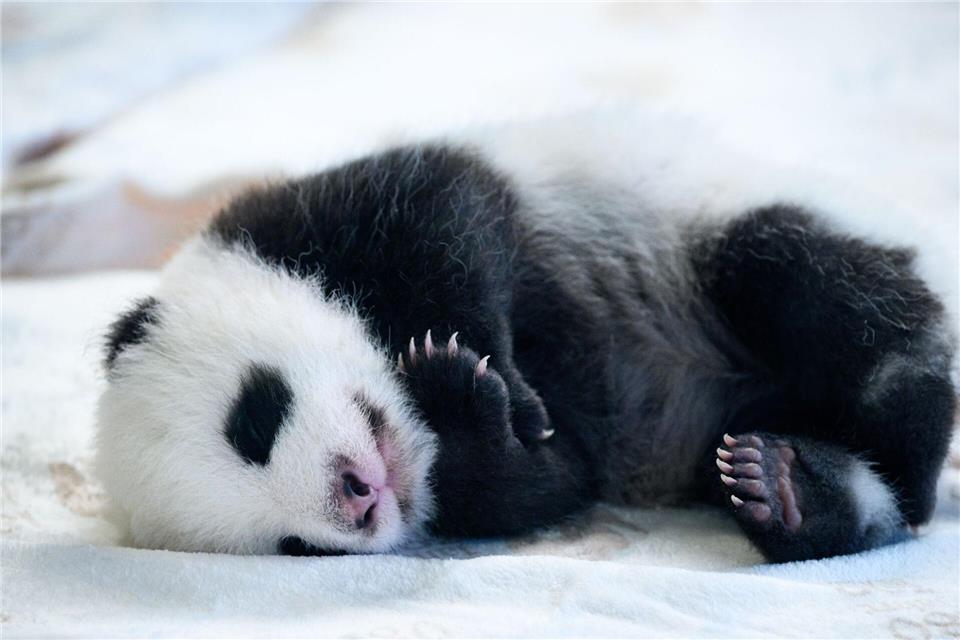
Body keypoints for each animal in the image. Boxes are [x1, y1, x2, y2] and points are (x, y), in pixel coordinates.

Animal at [95, 114, 957, 563]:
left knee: (815, 286)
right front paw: (467, 400)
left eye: (255, 418)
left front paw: (478, 374)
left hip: (727, 232)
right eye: (295, 548)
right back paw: (791, 490)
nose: (359, 499)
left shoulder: (312, 217)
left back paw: (890, 439)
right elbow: (546, 482)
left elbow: (456, 219)